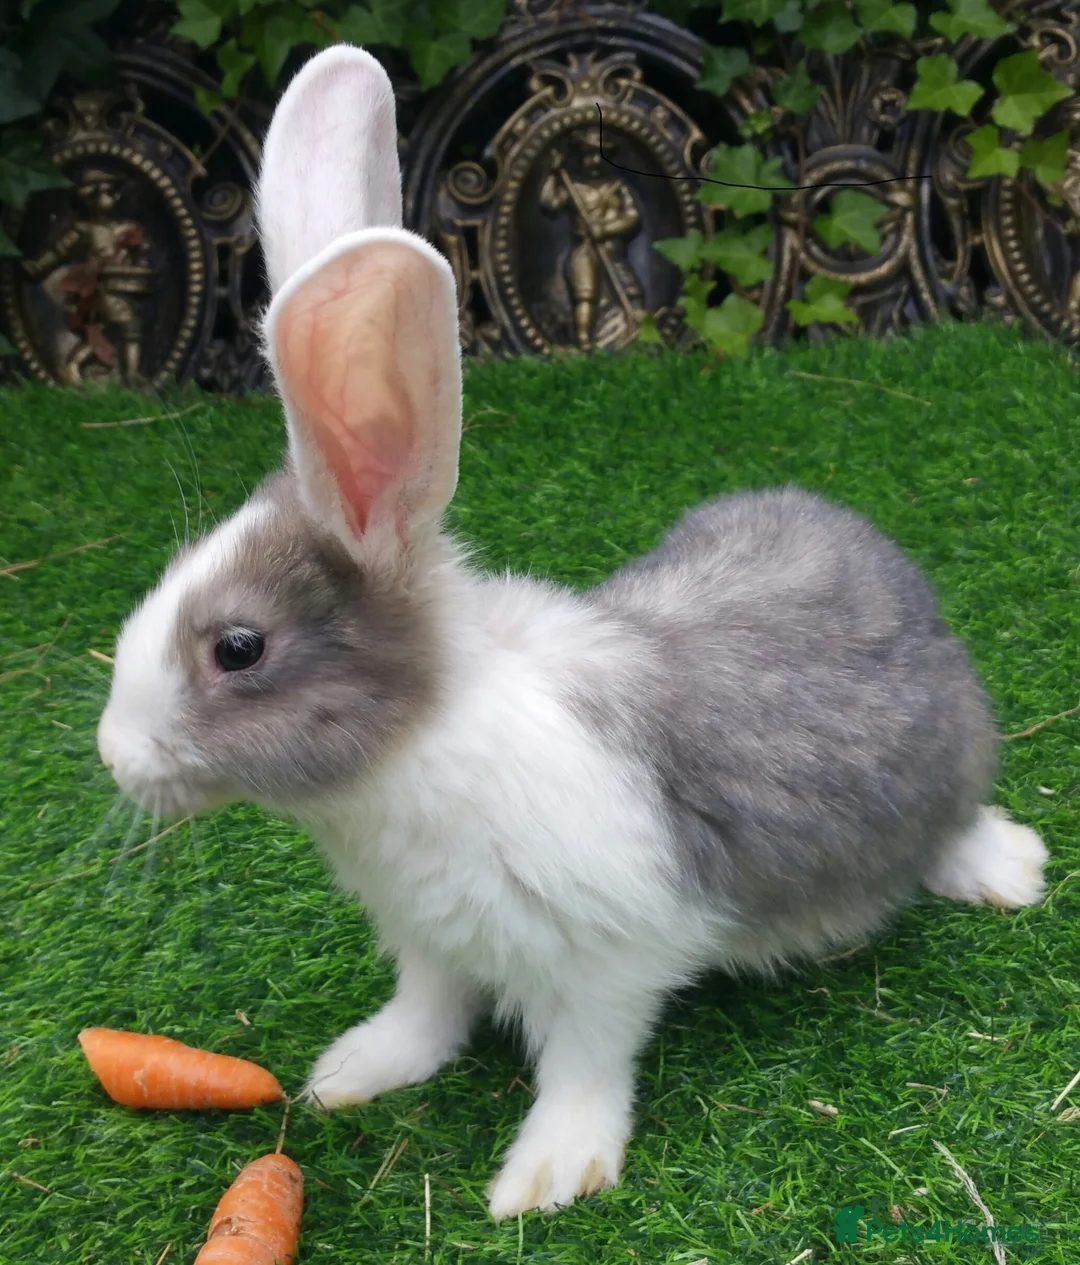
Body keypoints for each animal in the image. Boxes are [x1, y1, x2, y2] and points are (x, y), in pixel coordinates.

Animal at [96, 45, 1049, 1220]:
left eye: (237, 647)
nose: (114, 756)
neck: (419, 746)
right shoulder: (430, 938)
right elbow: (427, 1010)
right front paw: (355, 1070)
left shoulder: (606, 960)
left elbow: (585, 1064)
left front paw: (546, 1175)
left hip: (947, 763)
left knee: (953, 826)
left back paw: (1010, 870)